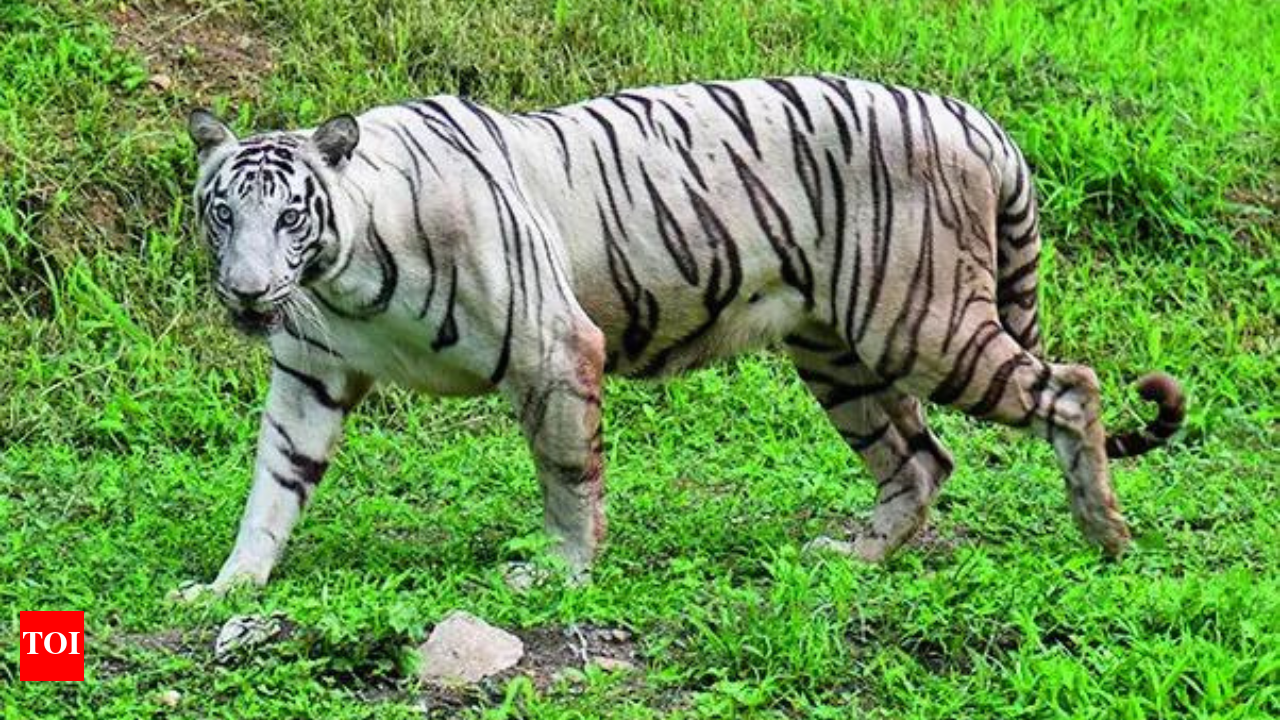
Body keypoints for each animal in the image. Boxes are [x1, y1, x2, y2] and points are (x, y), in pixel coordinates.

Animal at [180, 74, 1185, 597]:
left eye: (289, 215)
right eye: (223, 212)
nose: (245, 292)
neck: (343, 278)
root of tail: (972, 116)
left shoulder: (555, 349)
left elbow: (567, 475)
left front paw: (562, 570)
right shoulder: (308, 377)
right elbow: (272, 489)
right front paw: (230, 585)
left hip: (920, 324)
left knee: (1072, 388)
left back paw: (1105, 536)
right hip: (837, 353)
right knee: (921, 460)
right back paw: (855, 557)